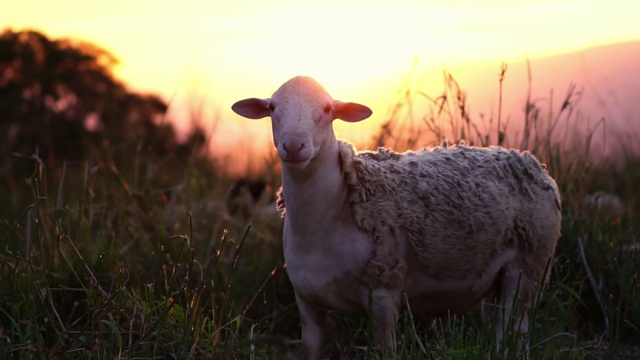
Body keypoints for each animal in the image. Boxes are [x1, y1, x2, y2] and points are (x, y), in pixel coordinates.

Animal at [232, 75, 564, 358]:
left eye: (327, 109)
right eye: (272, 108)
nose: (293, 145)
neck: (330, 216)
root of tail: (530, 162)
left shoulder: (383, 290)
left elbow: (384, 351)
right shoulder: (306, 300)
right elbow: (311, 348)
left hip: (527, 269)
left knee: (515, 334)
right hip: (495, 281)